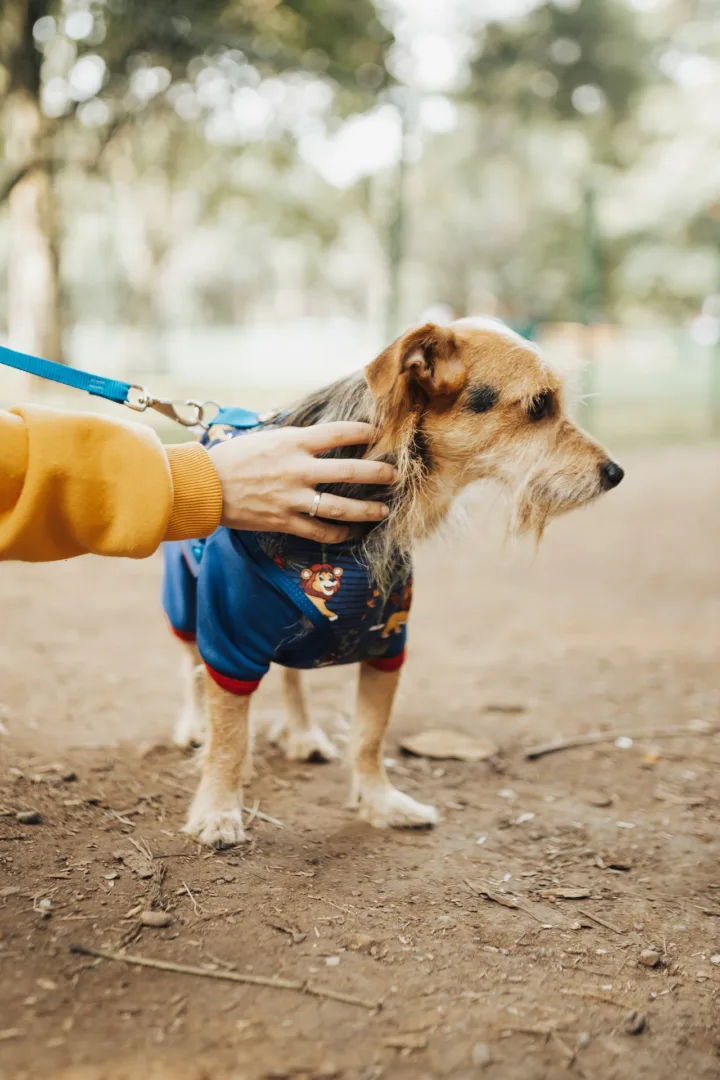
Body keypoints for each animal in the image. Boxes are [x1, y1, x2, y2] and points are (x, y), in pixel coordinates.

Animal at [160, 315, 621, 846]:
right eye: (539, 405)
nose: (616, 473)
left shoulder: (387, 642)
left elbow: (369, 737)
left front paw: (380, 804)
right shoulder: (229, 643)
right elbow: (229, 739)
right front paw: (218, 810)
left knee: (293, 675)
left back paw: (303, 733)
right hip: (185, 602)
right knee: (191, 667)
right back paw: (197, 726)